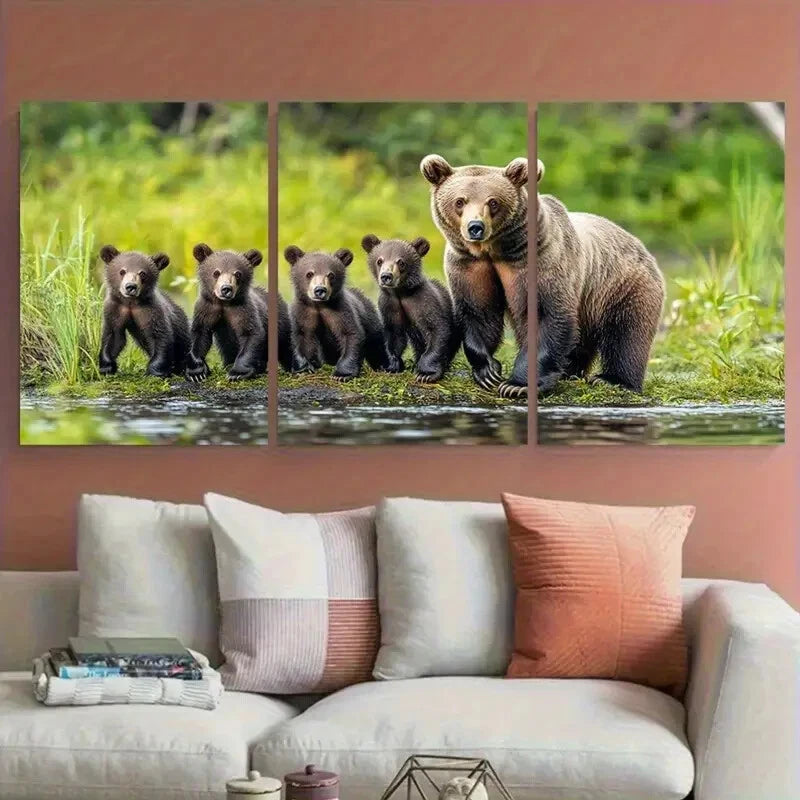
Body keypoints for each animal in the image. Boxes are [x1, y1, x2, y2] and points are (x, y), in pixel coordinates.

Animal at [98, 245, 190, 378]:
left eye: (142, 273)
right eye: (122, 271)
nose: (130, 286)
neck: (131, 303)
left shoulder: (151, 311)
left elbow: (160, 337)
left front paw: (155, 371)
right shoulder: (115, 310)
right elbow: (114, 336)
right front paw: (107, 367)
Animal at [186, 243, 294, 381]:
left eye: (237, 274)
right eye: (216, 272)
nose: (226, 289)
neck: (224, 304)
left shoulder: (243, 310)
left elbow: (251, 334)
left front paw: (237, 373)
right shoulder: (207, 309)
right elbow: (200, 333)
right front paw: (197, 372)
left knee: (286, 345)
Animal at [284, 245, 389, 380]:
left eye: (331, 275)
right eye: (309, 274)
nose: (320, 290)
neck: (319, 306)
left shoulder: (340, 311)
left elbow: (350, 334)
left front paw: (342, 374)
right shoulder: (303, 312)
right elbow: (301, 336)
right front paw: (303, 369)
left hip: (371, 320)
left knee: (376, 346)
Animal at [361, 234, 460, 382]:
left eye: (401, 262)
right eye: (379, 260)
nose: (386, 276)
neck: (401, 293)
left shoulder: (424, 301)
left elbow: (437, 330)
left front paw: (426, 374)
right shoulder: (390, 305)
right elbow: (393, 334)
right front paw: (392, 364)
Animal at [421, 154, 529, 399]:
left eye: (493, 202)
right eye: (460, 201)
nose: (475, 227)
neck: (487, 251)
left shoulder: (520, 262)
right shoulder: (468, 266)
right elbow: (479, 313)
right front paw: (487, 370)